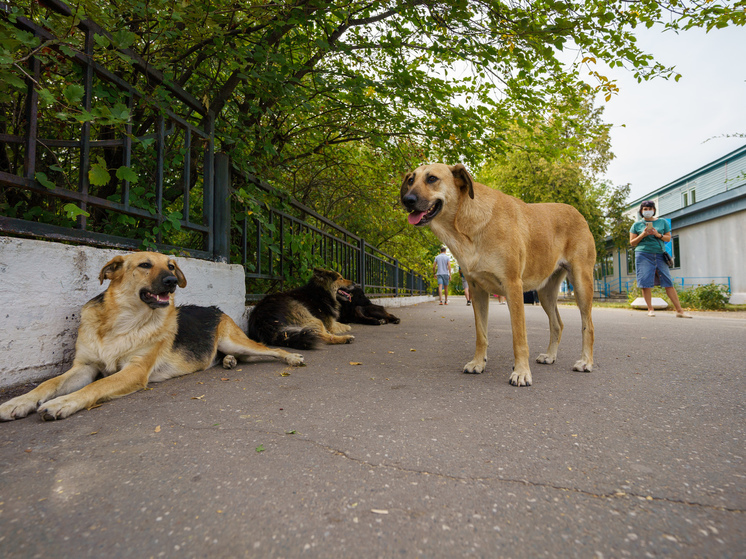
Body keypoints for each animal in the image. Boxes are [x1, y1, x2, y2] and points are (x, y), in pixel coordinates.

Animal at [0, 253, 302, 420]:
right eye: (145, 265)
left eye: (171, 266)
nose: (172, 282)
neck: (122, 323)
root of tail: (215, 308)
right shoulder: (84, 367)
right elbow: (47, 384)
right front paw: (17, 402)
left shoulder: (134, 371)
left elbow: (96, 386)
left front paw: (62, 403)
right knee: (240, 356)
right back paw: (228, 362)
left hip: (234, 340)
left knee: (269, 350)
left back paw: (292, 357)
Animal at [398, 164, 596, 388]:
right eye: (411, 180)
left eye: (432, 178)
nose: (407, 200)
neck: (467, 223)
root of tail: (578, 213)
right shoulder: (477, 290)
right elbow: (481, 333)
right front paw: (478, 362)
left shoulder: (513, 286)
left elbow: (519, 337)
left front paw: (521, 372)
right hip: (546, 293)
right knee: (557, 324)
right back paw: (550, 356)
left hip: (581, 284)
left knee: (588, 326)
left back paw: (586, 362)